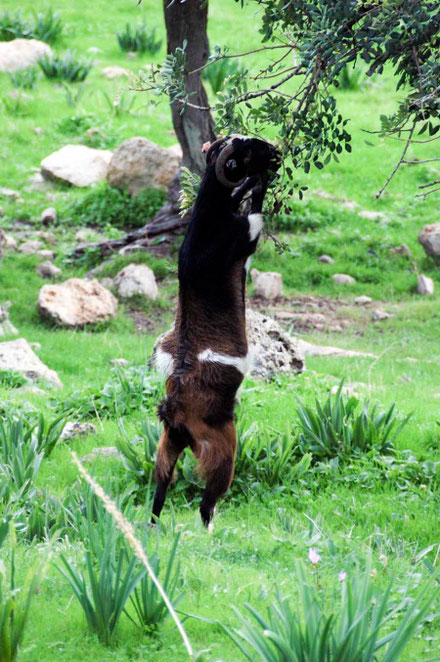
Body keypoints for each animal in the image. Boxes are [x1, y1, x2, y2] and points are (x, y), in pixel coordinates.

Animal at [151, 134, 280, 528]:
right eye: (248, 151)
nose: (276, 155)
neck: (207, 222)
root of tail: (176, 413)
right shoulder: (246, 235)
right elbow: (254, 210)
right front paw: (258, 183)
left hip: (167, 444)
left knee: (161, 482)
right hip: (221, 447)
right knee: (207, 500)